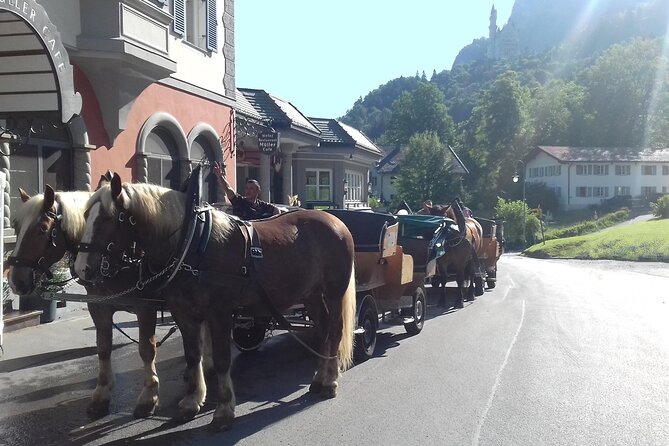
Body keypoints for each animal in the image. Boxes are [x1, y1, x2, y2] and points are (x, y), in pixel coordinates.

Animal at [75, 172, 358, 430]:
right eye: (86, 215)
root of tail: (335, 220)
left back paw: (330, 381)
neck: (192, 243)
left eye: (108, 218)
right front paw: (191, 403)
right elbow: (193, 355)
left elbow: (222, 359)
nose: (81, 268)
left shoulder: (219, 313)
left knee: (335, 330)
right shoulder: (184, 313)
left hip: (334, 292)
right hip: (311, 294)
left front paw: (223, 410)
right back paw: (319, 378)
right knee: (322, 330)